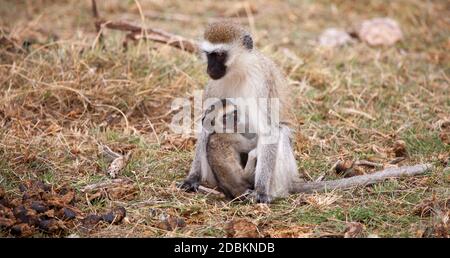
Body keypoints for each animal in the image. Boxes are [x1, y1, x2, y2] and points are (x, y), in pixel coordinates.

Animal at [178, 21, 428, 203]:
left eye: (219, 55)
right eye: (209, 55)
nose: (210, 68)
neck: (238, 71)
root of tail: (290, 181)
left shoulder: (262, 81)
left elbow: (270, 130)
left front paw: (261, 191)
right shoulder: (214, 86)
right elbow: (206, 122)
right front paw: (192, 178)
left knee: (281, 134)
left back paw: (266, 189)